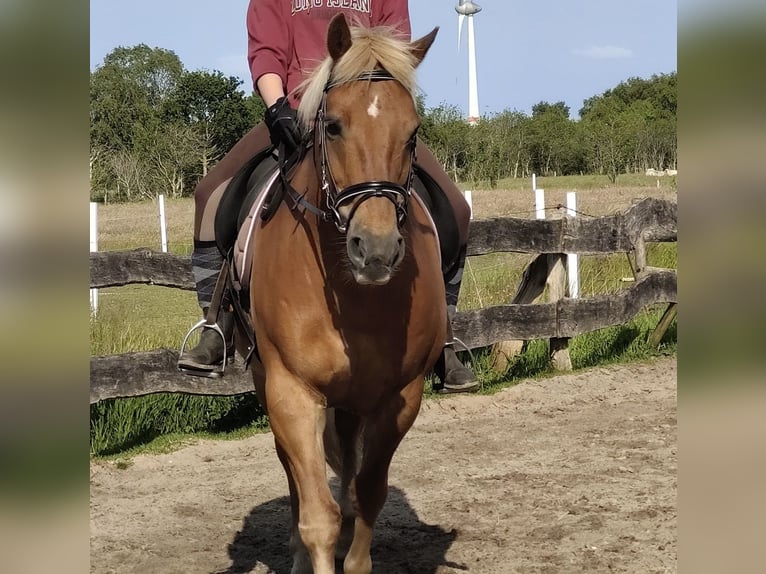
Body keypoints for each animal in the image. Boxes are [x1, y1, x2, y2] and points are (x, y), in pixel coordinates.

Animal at [246, 13, 448, 574]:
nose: (375, 250)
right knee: (295, 478)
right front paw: (309, 548)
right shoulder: (291, 392)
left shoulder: (400, 397)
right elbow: (319, 516)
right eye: (333, 125)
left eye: (413, 132)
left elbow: (368, 495)